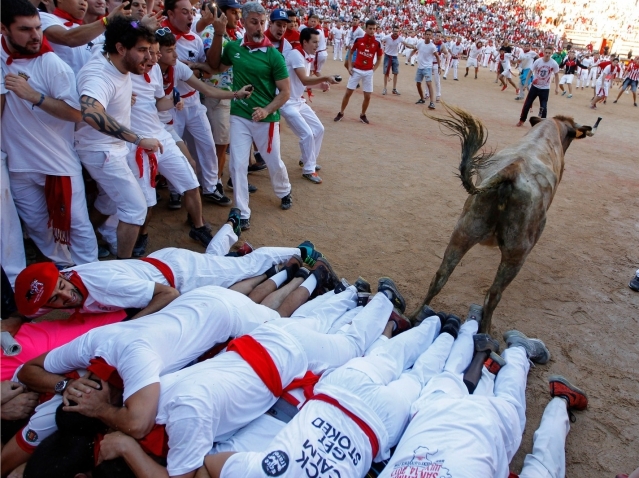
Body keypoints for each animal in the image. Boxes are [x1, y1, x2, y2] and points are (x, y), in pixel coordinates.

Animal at [412, 103, 604, 332]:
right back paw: (485, 331)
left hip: (463, 232)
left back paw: (415, 316)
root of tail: (510, 173)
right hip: (516, 254)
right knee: (493, 294)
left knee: (441, 275)